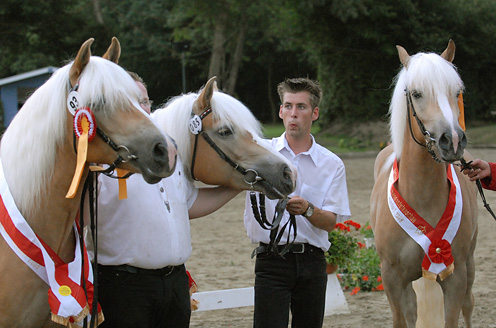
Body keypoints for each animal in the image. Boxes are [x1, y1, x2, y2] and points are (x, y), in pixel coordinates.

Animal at [370, 41, 478, 328]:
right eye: (417, 94)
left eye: (456, 92)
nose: (452, 141)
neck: (422, 196)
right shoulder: (392, 279)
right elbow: (401, 319)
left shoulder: (455, 276)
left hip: (470, 264)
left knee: (469, 306)